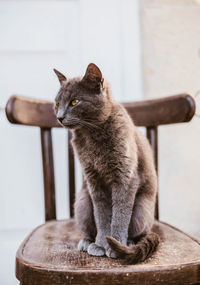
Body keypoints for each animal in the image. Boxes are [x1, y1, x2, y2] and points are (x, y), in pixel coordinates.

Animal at [53, 63, 159, 262]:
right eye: (56, 104)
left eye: (74, 102)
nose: (59, 116)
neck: (91, 134)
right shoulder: (94, 180)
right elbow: (102, 216)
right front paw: (100, 244)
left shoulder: (125, 178)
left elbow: (119, 216)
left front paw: (114, 245)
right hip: (82, 203)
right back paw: (87, 242)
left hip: (142, 211)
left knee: (138, 232)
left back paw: (128, 244)